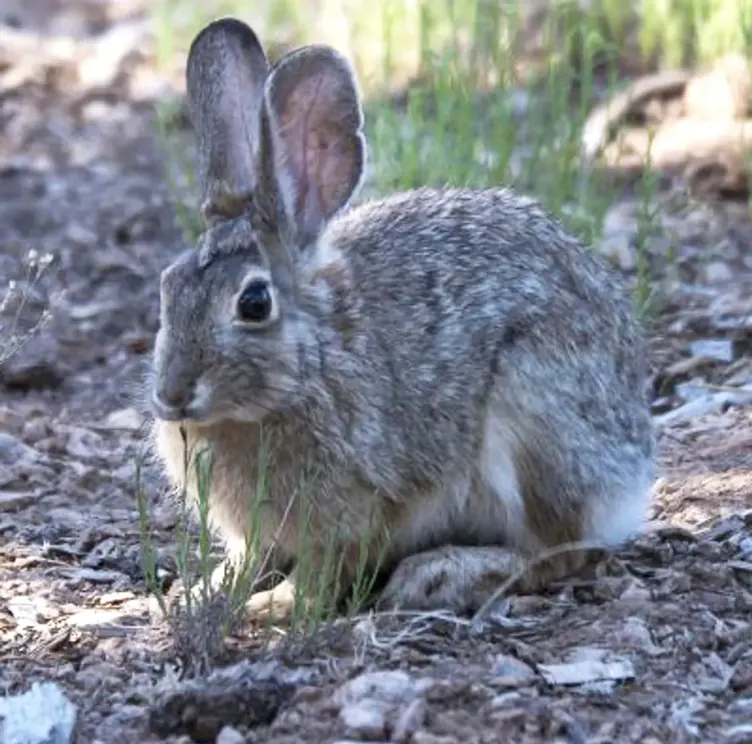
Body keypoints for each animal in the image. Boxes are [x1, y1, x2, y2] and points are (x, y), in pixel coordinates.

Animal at [149, 17, 655, 616]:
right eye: (168, 286)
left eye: (253, 303)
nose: (172, 395)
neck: (306, 368)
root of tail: (633, 472)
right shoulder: (256, 533)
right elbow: (248, 559)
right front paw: (204, 591)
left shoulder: (354, 507)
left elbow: (322, 573)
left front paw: (273, 606)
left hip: (534, 418)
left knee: (560, 550)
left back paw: (441, 575)